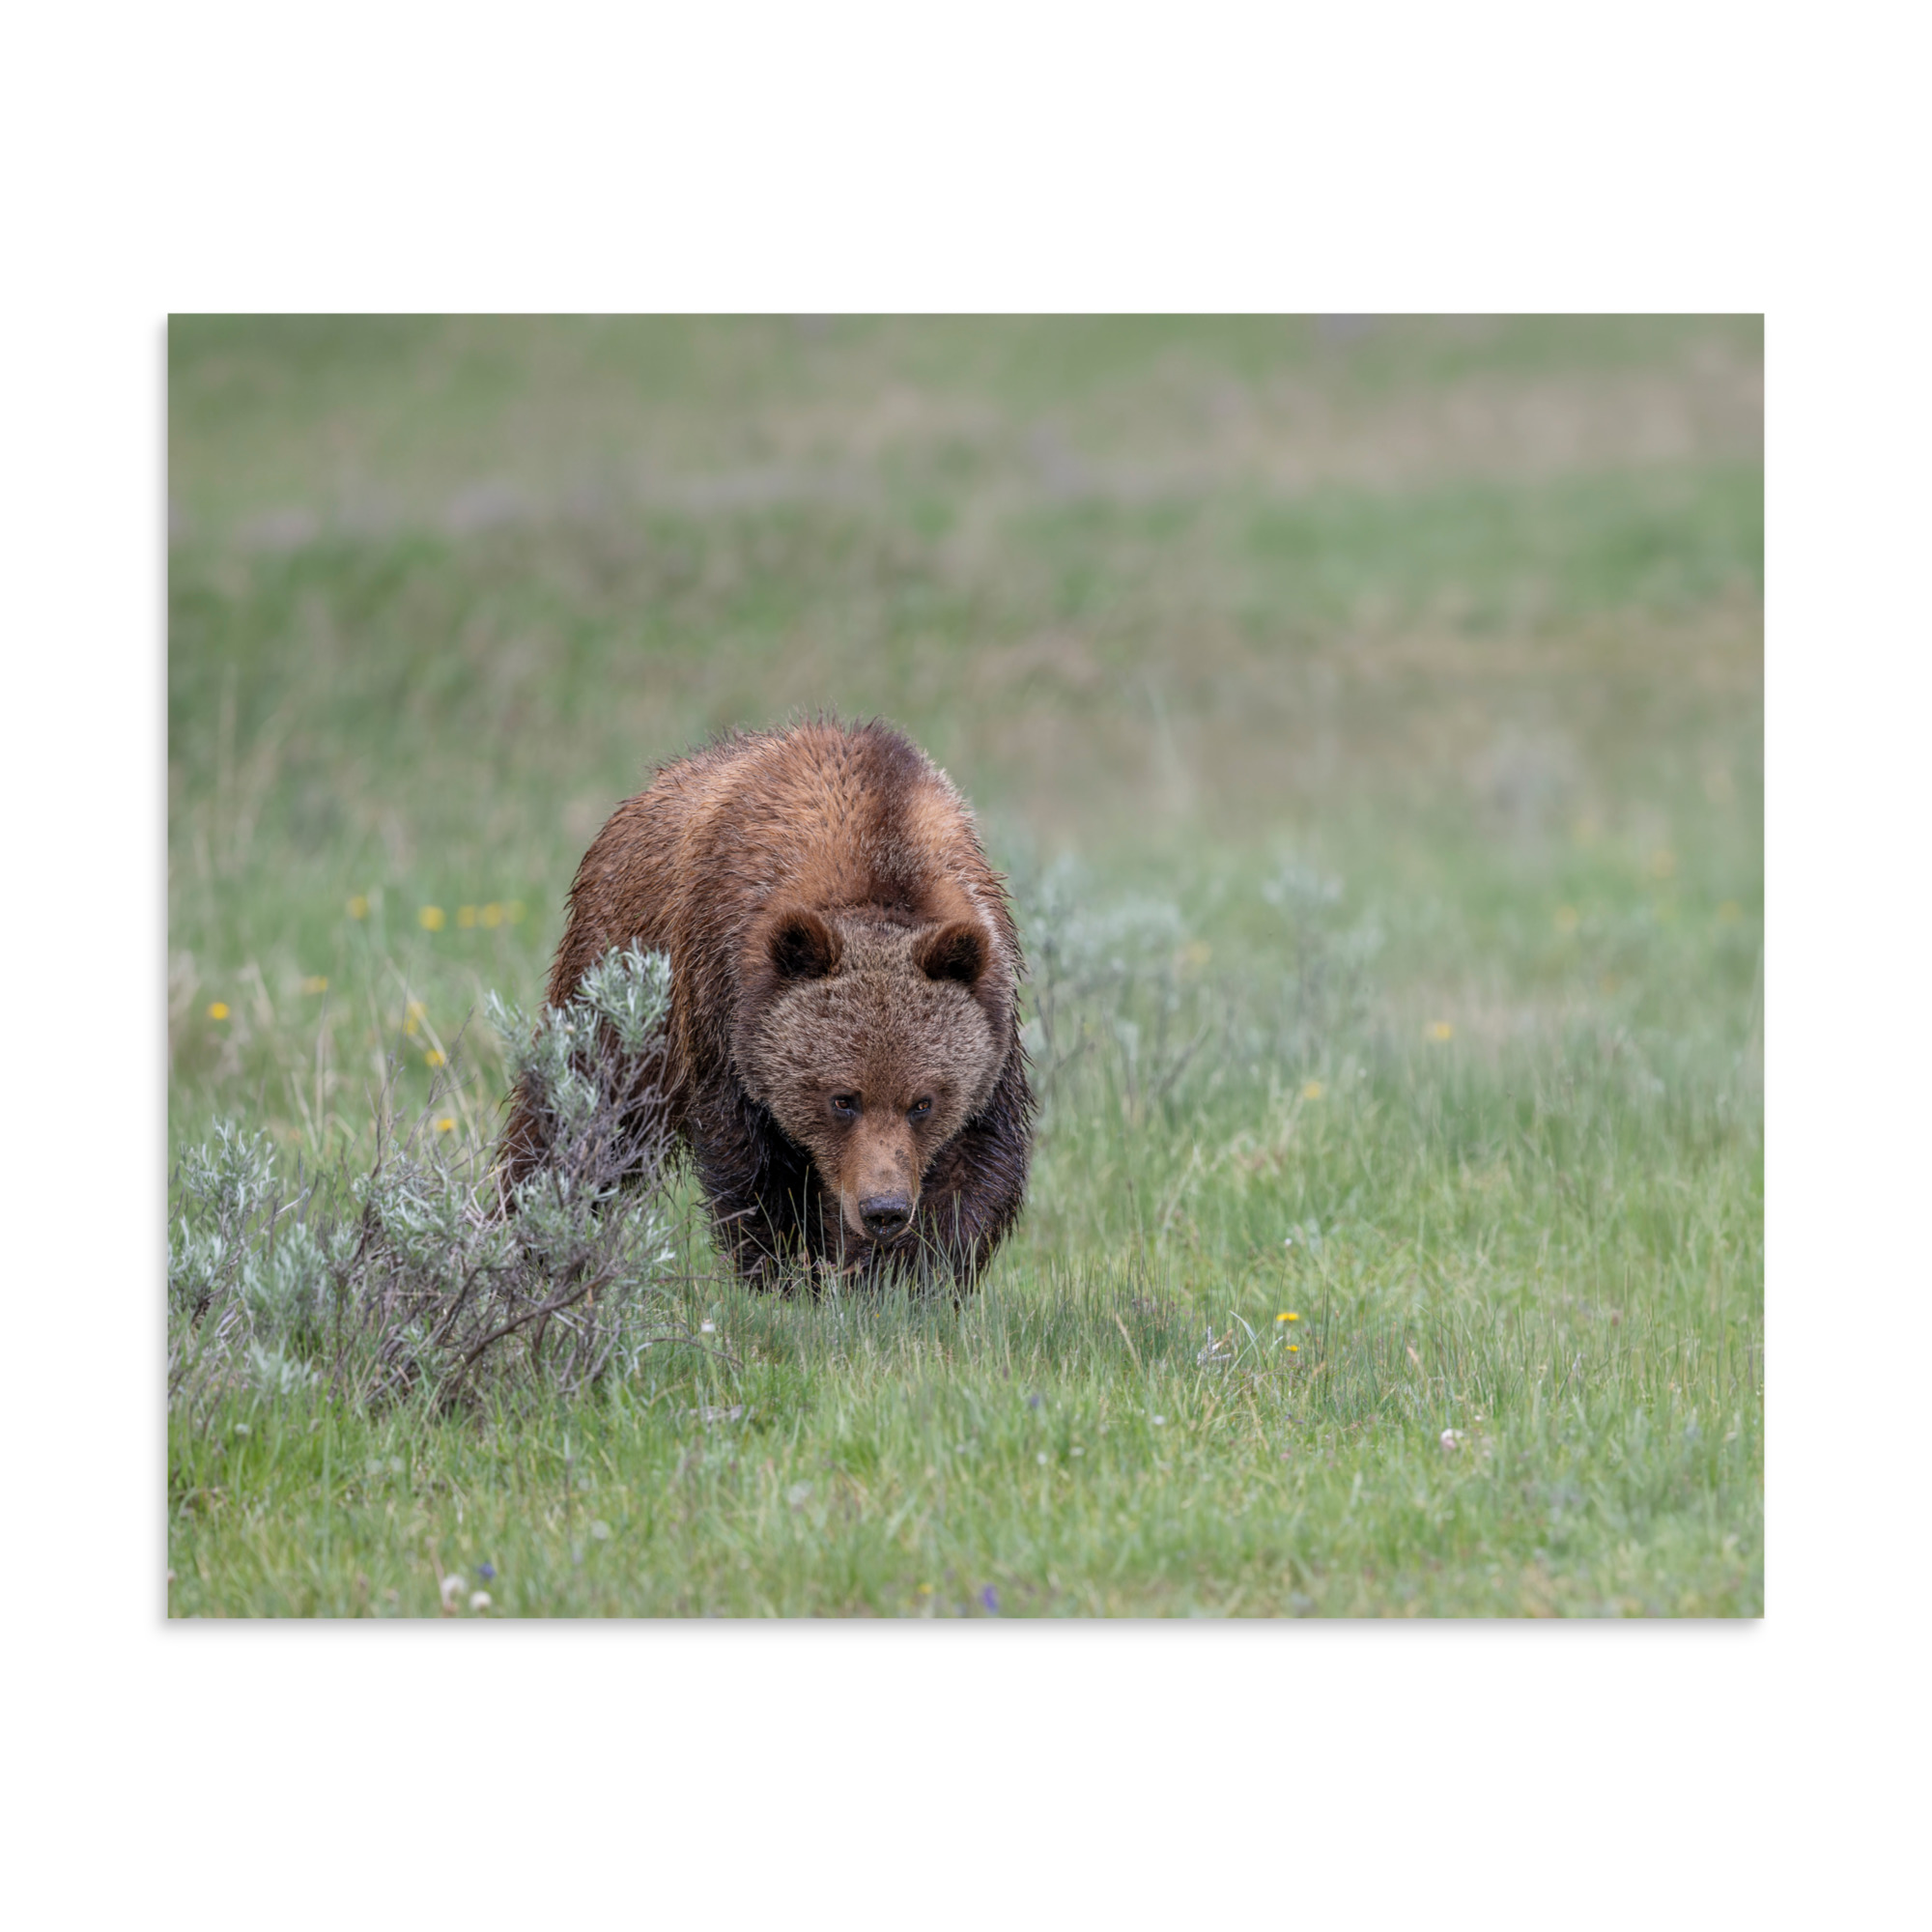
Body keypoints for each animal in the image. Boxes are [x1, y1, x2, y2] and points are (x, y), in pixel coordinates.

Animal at [498, 718, 1034, 1287]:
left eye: (923, 1102)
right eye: (842, 1099)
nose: (883, 1209)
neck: (879, 859)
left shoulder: (992, 1020)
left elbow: (974, 1166)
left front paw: (901, 1277)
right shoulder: (724, 1004)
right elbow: (754, 1168)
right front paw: (788, 1272)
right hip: (620, 978)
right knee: (579, 1110)